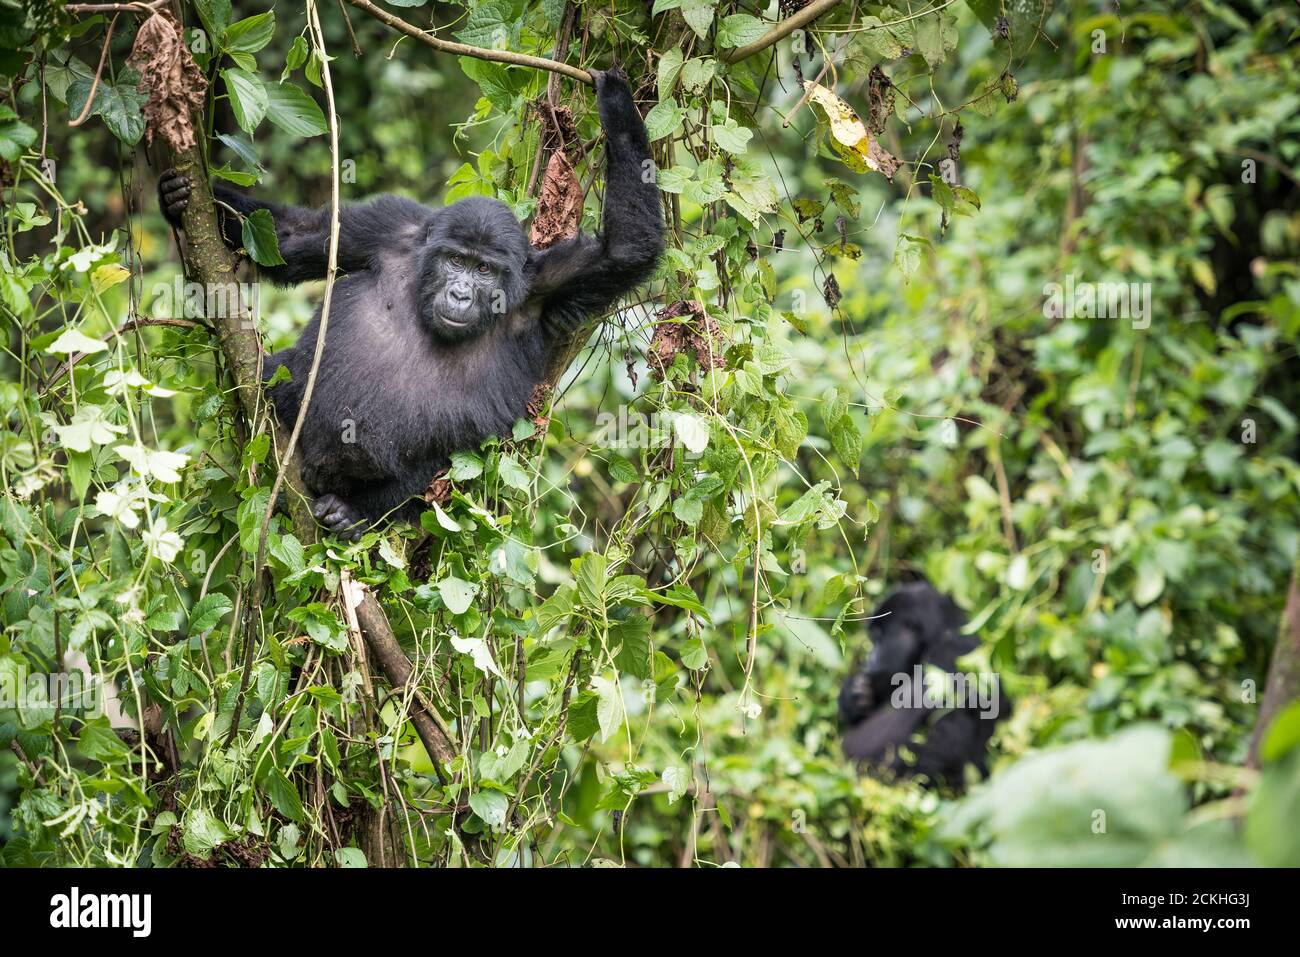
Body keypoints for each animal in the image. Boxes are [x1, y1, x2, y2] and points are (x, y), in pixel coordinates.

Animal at [163, 69, 665, 538]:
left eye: (484, 271)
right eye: (455, 260)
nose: (460, 293)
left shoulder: (550, 284)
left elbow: (625, 250)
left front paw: (616, 104)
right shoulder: (390, 225)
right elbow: (293, 239)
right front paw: (182, 195)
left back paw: (353, 512)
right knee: (281, 375)